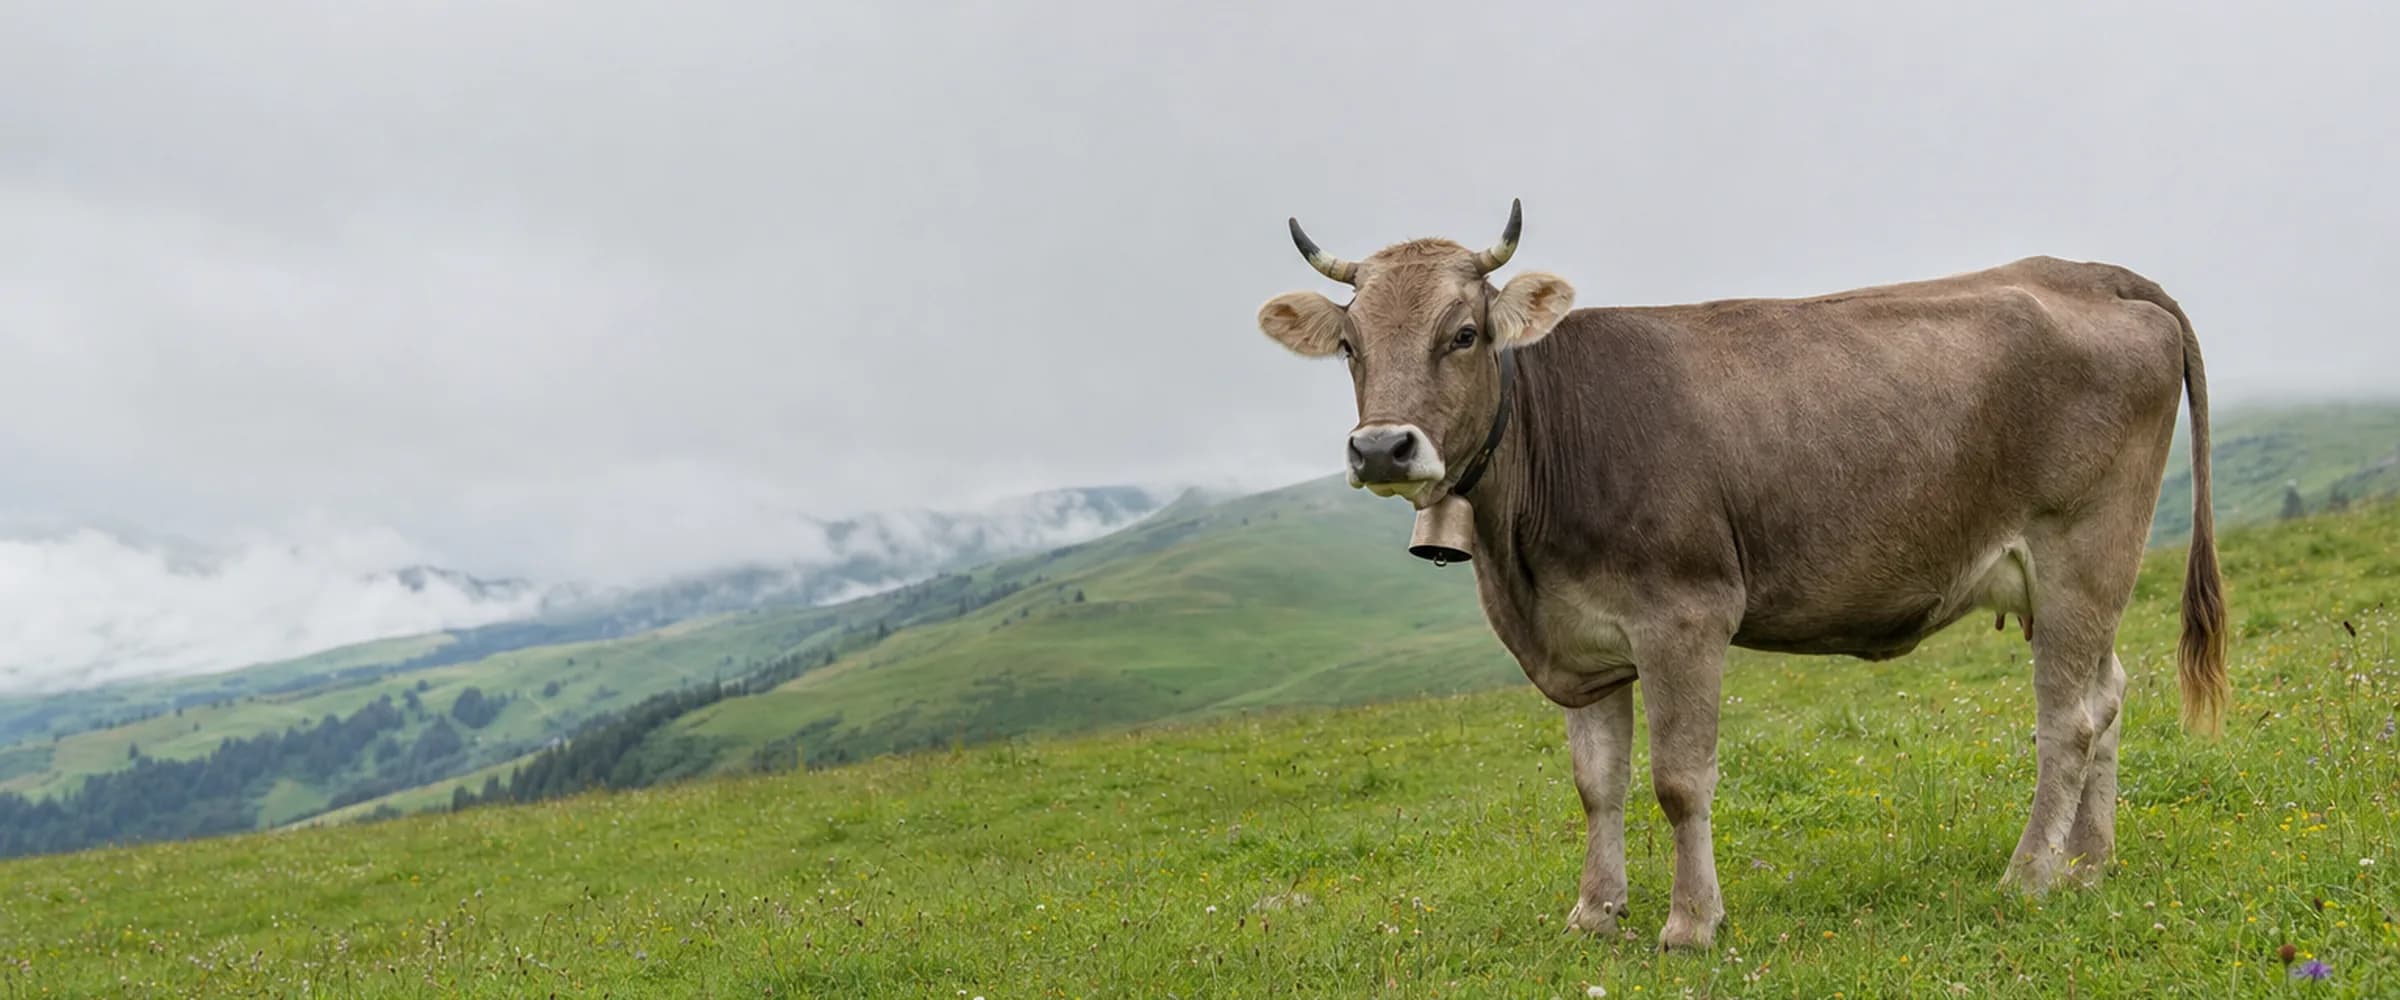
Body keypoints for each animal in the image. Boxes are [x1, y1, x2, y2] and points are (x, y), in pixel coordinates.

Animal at [1252, 200, 2228, 951]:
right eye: (1350, 345)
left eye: (1462, 334)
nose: (1383, 447)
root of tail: (2091, 271)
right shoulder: (1583, 643)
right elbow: (1596, 785)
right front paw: (1594, 913)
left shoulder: (1684, 616)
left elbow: (1680, 781)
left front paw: (1691, 924)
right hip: (2064, 582)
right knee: (2108, 692)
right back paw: (2089, 863)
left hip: (2082, 548)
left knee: (2068, 718)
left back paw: (2028, 874)